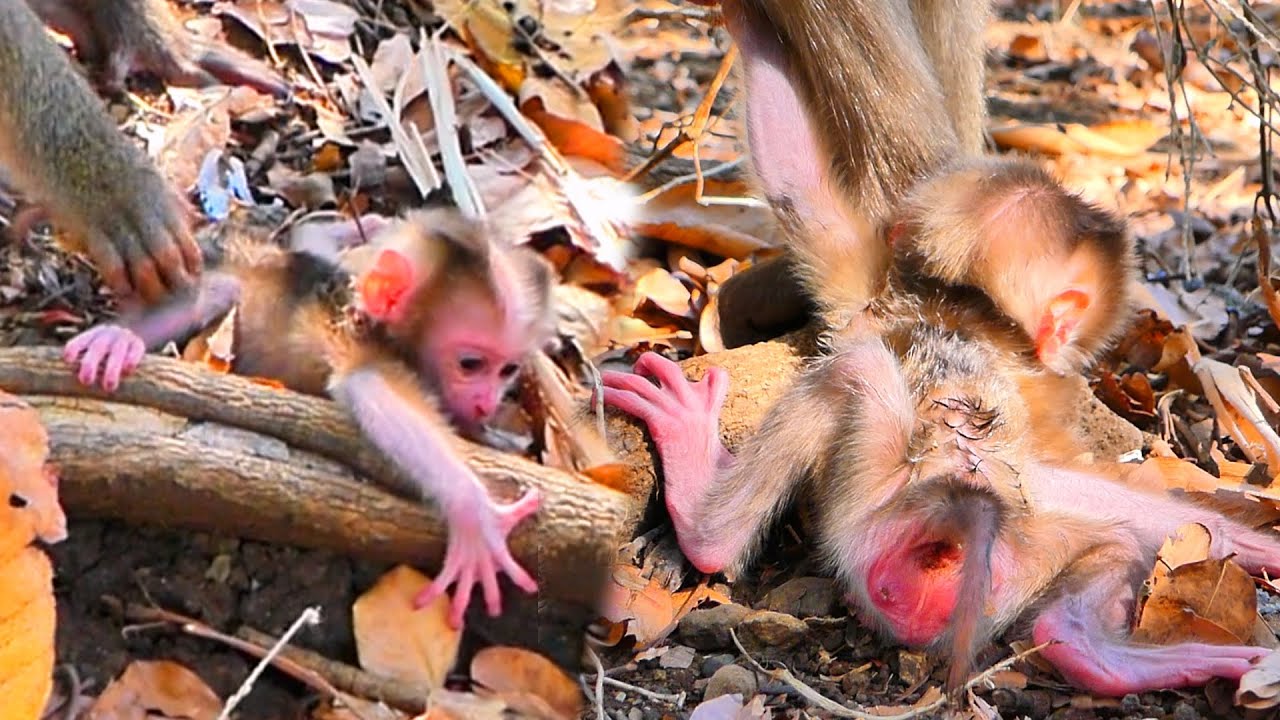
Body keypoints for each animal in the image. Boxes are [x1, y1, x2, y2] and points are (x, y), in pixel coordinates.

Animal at [63, 208, 558, 628]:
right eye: (471, 364)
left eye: (508, 370)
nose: (487, 400)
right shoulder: (363, 343)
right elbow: (367, 385)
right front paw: (473, 511)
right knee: (218, 292)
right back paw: (122, 339)